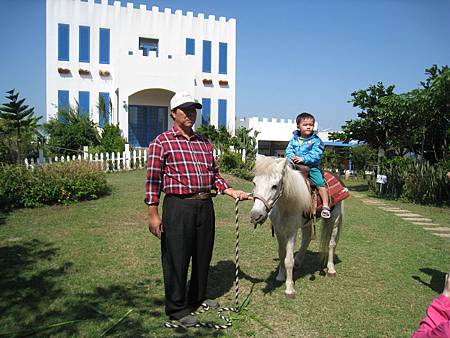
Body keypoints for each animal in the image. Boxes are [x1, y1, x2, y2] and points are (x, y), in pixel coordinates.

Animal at [250, 156, 344, 298]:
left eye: (274, 186)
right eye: (254, 183)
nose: (256, 215)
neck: (285, 205)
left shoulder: (291, 232)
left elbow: (288, 260)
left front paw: (289, 289)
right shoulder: (279, 231)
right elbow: (282, 254)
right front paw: (280, 276)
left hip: (335, 219)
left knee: (331, 244)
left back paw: (331, 269)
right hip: (307, 223)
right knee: (307, 238)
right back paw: (299, 261)